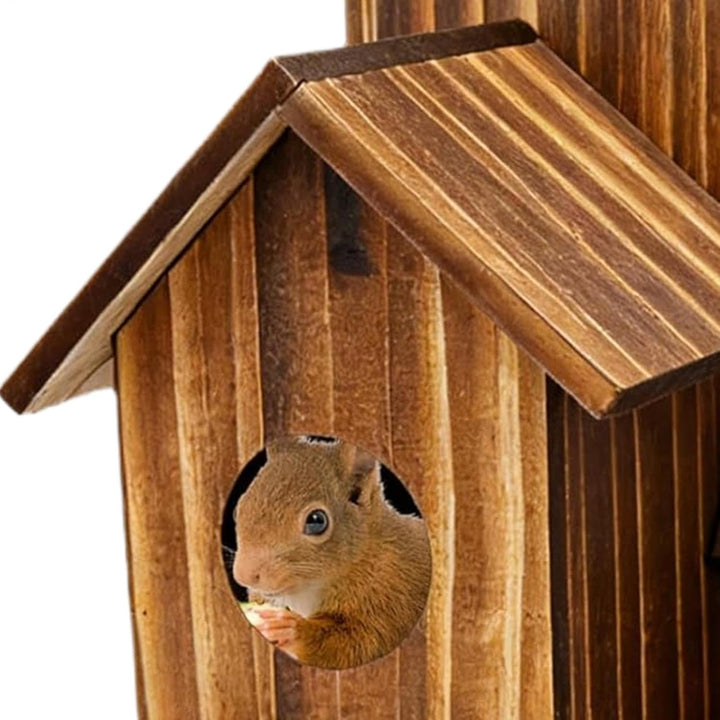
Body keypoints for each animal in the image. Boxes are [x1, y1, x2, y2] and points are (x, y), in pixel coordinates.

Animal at [232, 437, 432, 670]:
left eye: (317, 521)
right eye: (238, 508)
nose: (243, 576)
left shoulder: (394, 597)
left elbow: (364, 643)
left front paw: (292, 631)